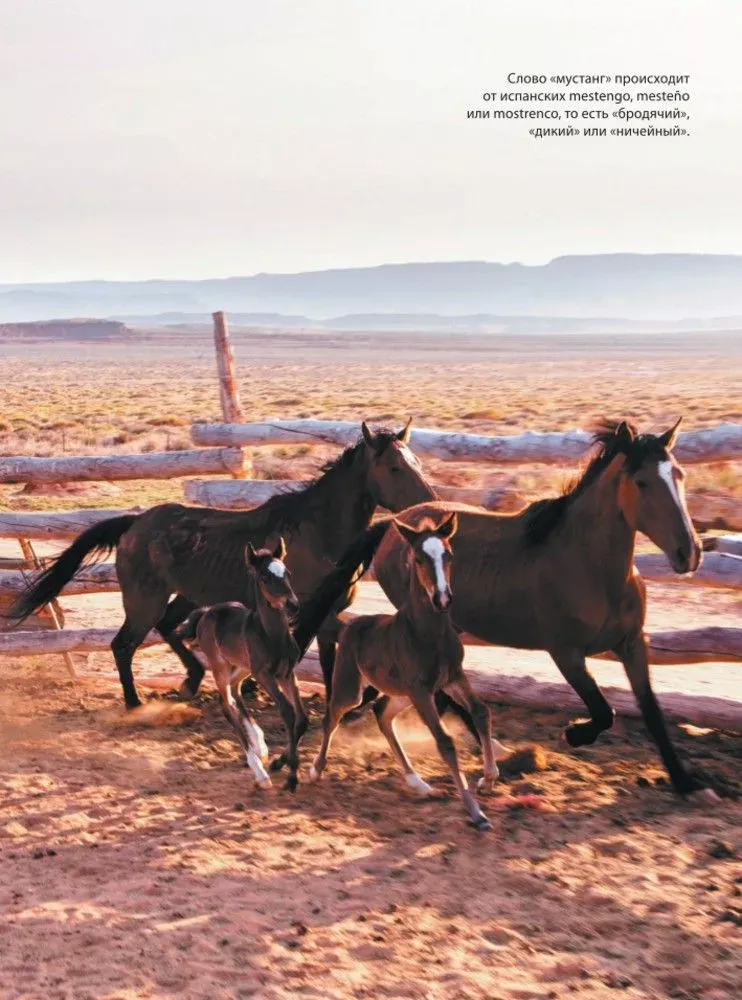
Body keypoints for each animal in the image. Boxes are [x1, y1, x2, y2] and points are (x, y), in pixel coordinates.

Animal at [10, 420, 436, 710]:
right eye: (394, 468)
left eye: (416, 461)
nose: (429, 504)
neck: (318, 531)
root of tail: (134, 523)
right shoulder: (311, 613)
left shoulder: (328, 614)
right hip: (144, 600)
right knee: (123, 644)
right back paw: (135, 704)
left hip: (186, 594)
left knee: (169, 627)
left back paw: (190, 682)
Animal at [173, 538, 307, 791]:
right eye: (264, 576)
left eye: (287, 573)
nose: (293, 606)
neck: (272, 635)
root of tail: (206, 612)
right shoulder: (265, 675)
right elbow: (288, 712)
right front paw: (291, 776)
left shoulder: (288, 673)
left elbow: (302, 719)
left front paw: (280, 763)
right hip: (220, 666)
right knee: (227, 704)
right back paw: (259, 771)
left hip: (243, 667)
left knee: (236, 692)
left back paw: (259, 745)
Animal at [308, 513, 498, 832]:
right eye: (419, 558)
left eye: (448, 554)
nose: (442, 599)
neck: (427, 633)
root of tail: (347, 626)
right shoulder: (422, 690)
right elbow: (445, 742)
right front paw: (477, 813)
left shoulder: (452, 678)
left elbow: (480, 711)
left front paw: (489, 777)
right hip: (354, 687)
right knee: (332, 716)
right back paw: (315, 769)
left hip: (402, 694)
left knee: (382, 713)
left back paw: (417, 782)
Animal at [371, 418, 710, 797]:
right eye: (642, 482)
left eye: (679, 474)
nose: (689, 553)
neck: (589, 565)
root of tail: (394, 527)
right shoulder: (565, 652)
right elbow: (603, 711)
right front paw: (573, 734)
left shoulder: (634, 643)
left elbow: (651, 711)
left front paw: (686, 782)